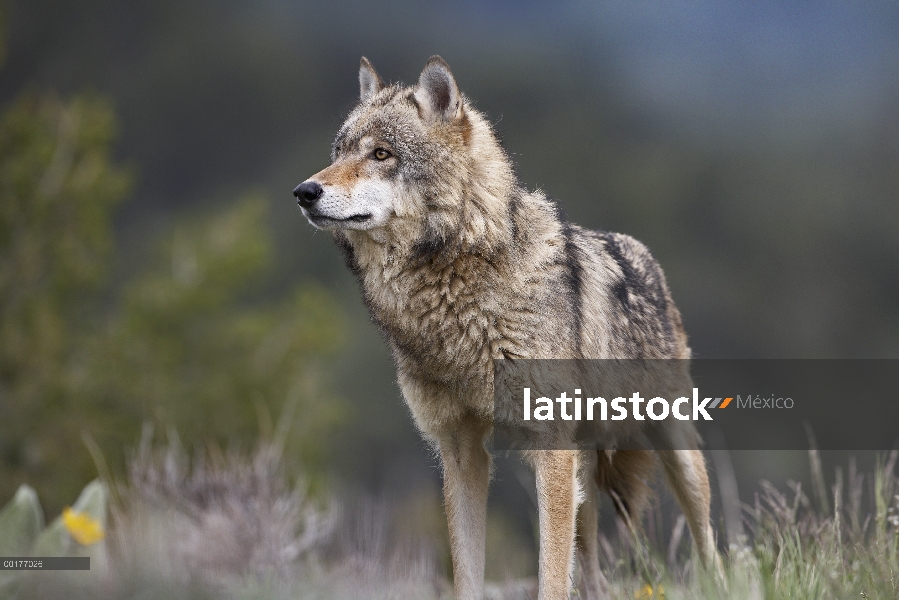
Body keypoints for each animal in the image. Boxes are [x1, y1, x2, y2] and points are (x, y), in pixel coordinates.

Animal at [294, 56, 716, 600]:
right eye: (340, 153)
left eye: (381, 154)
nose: (304, 192)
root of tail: (642, 253)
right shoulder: (460, 451)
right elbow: (468, 572)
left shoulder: (550, 449)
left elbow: (551, 576)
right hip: (585, 474)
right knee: (593, 570)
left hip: (675, 451)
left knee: (712, 548)